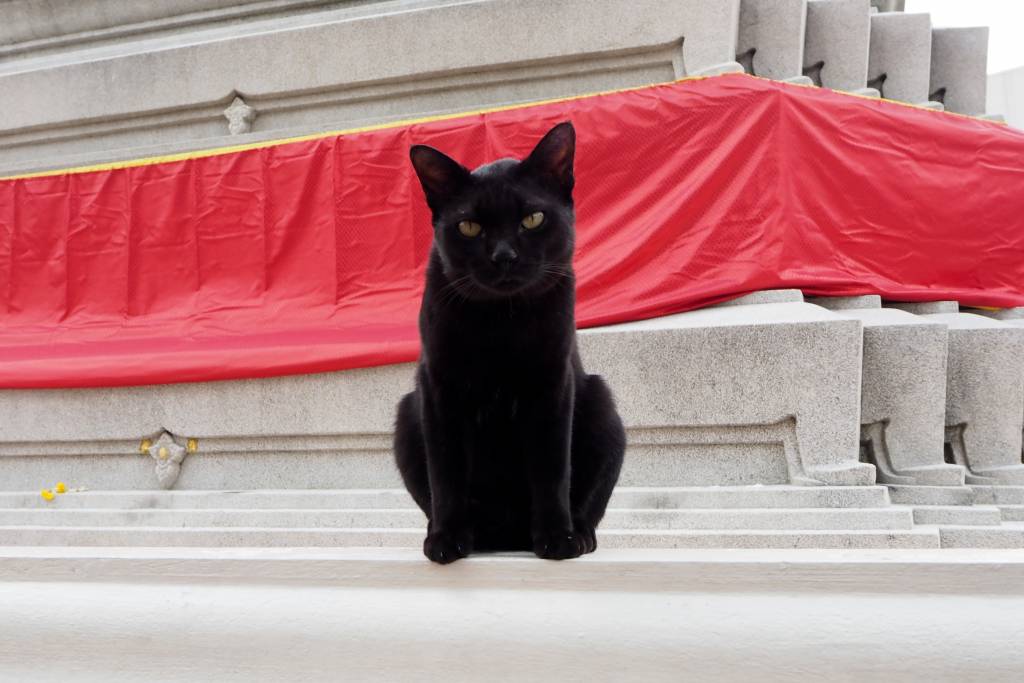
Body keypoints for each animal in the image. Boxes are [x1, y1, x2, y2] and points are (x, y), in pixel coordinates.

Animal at [393, 121, 626, 564]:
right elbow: (446, 474)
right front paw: (446, 539)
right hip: (406, 416)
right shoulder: (439, 389)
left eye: (532, 219)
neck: (502, 322)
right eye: (469, 227)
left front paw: (557, 538)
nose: (504, 256)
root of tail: (509, 535)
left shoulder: (551, 386)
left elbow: (551, 469)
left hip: (603, 407)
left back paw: (579, 533)